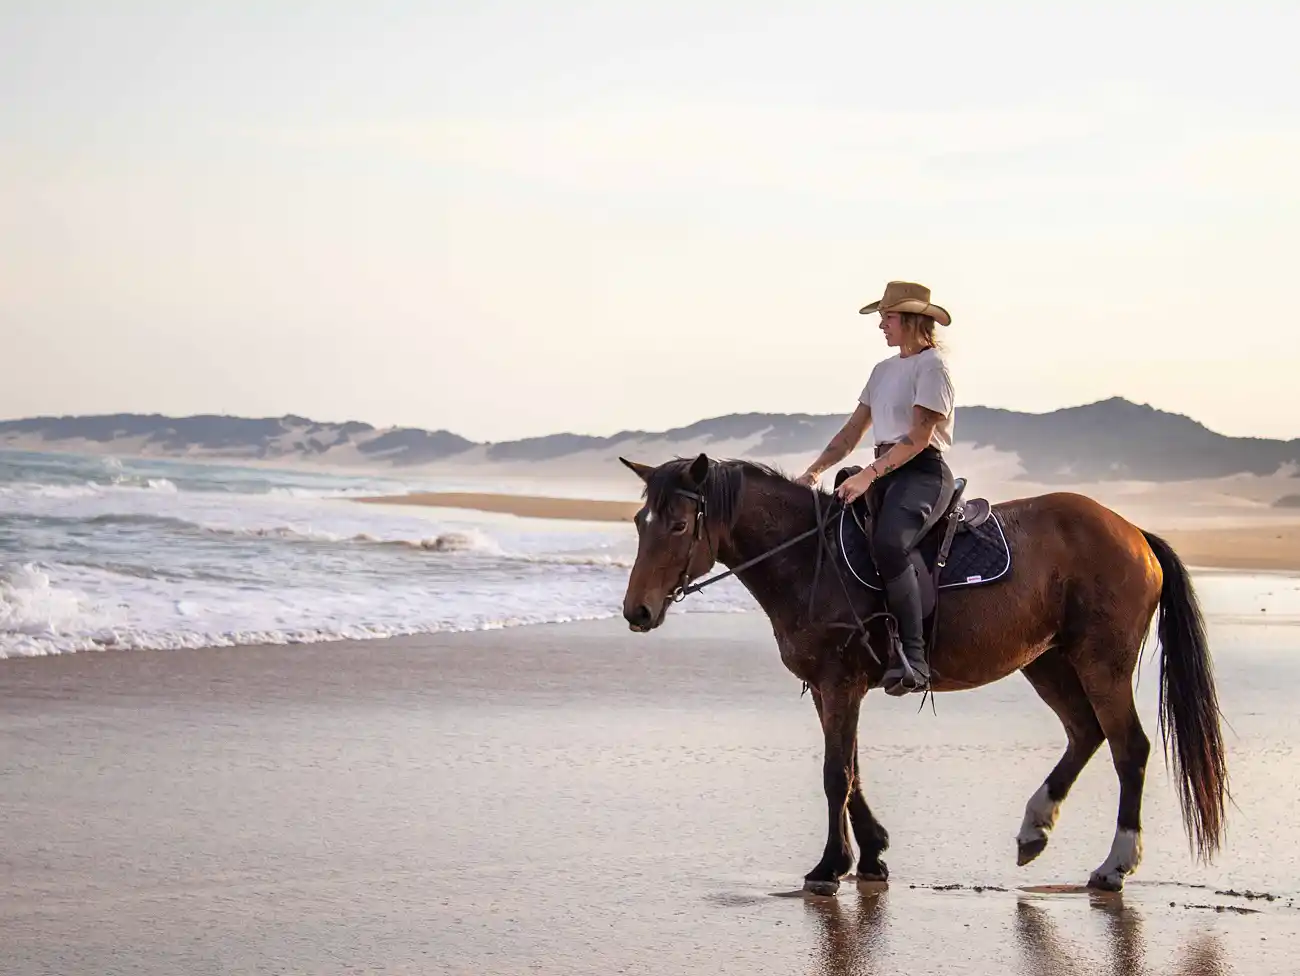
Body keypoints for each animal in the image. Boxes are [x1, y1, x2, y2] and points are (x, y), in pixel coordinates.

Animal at [616, 452, 1228, 894]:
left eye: (678, 526)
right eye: (641, 523)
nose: (636, 611)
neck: (808, 558)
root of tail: (1135, 534)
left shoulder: (840, 684)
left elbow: (835, 774)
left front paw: (829, 866)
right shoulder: (829, 688)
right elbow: (851, 769)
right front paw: (871, 854)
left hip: (1101, 662)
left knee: (1129, 747)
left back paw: (1115, 864)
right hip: (1048, 661)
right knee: (1086, 733)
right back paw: (1036, 828)